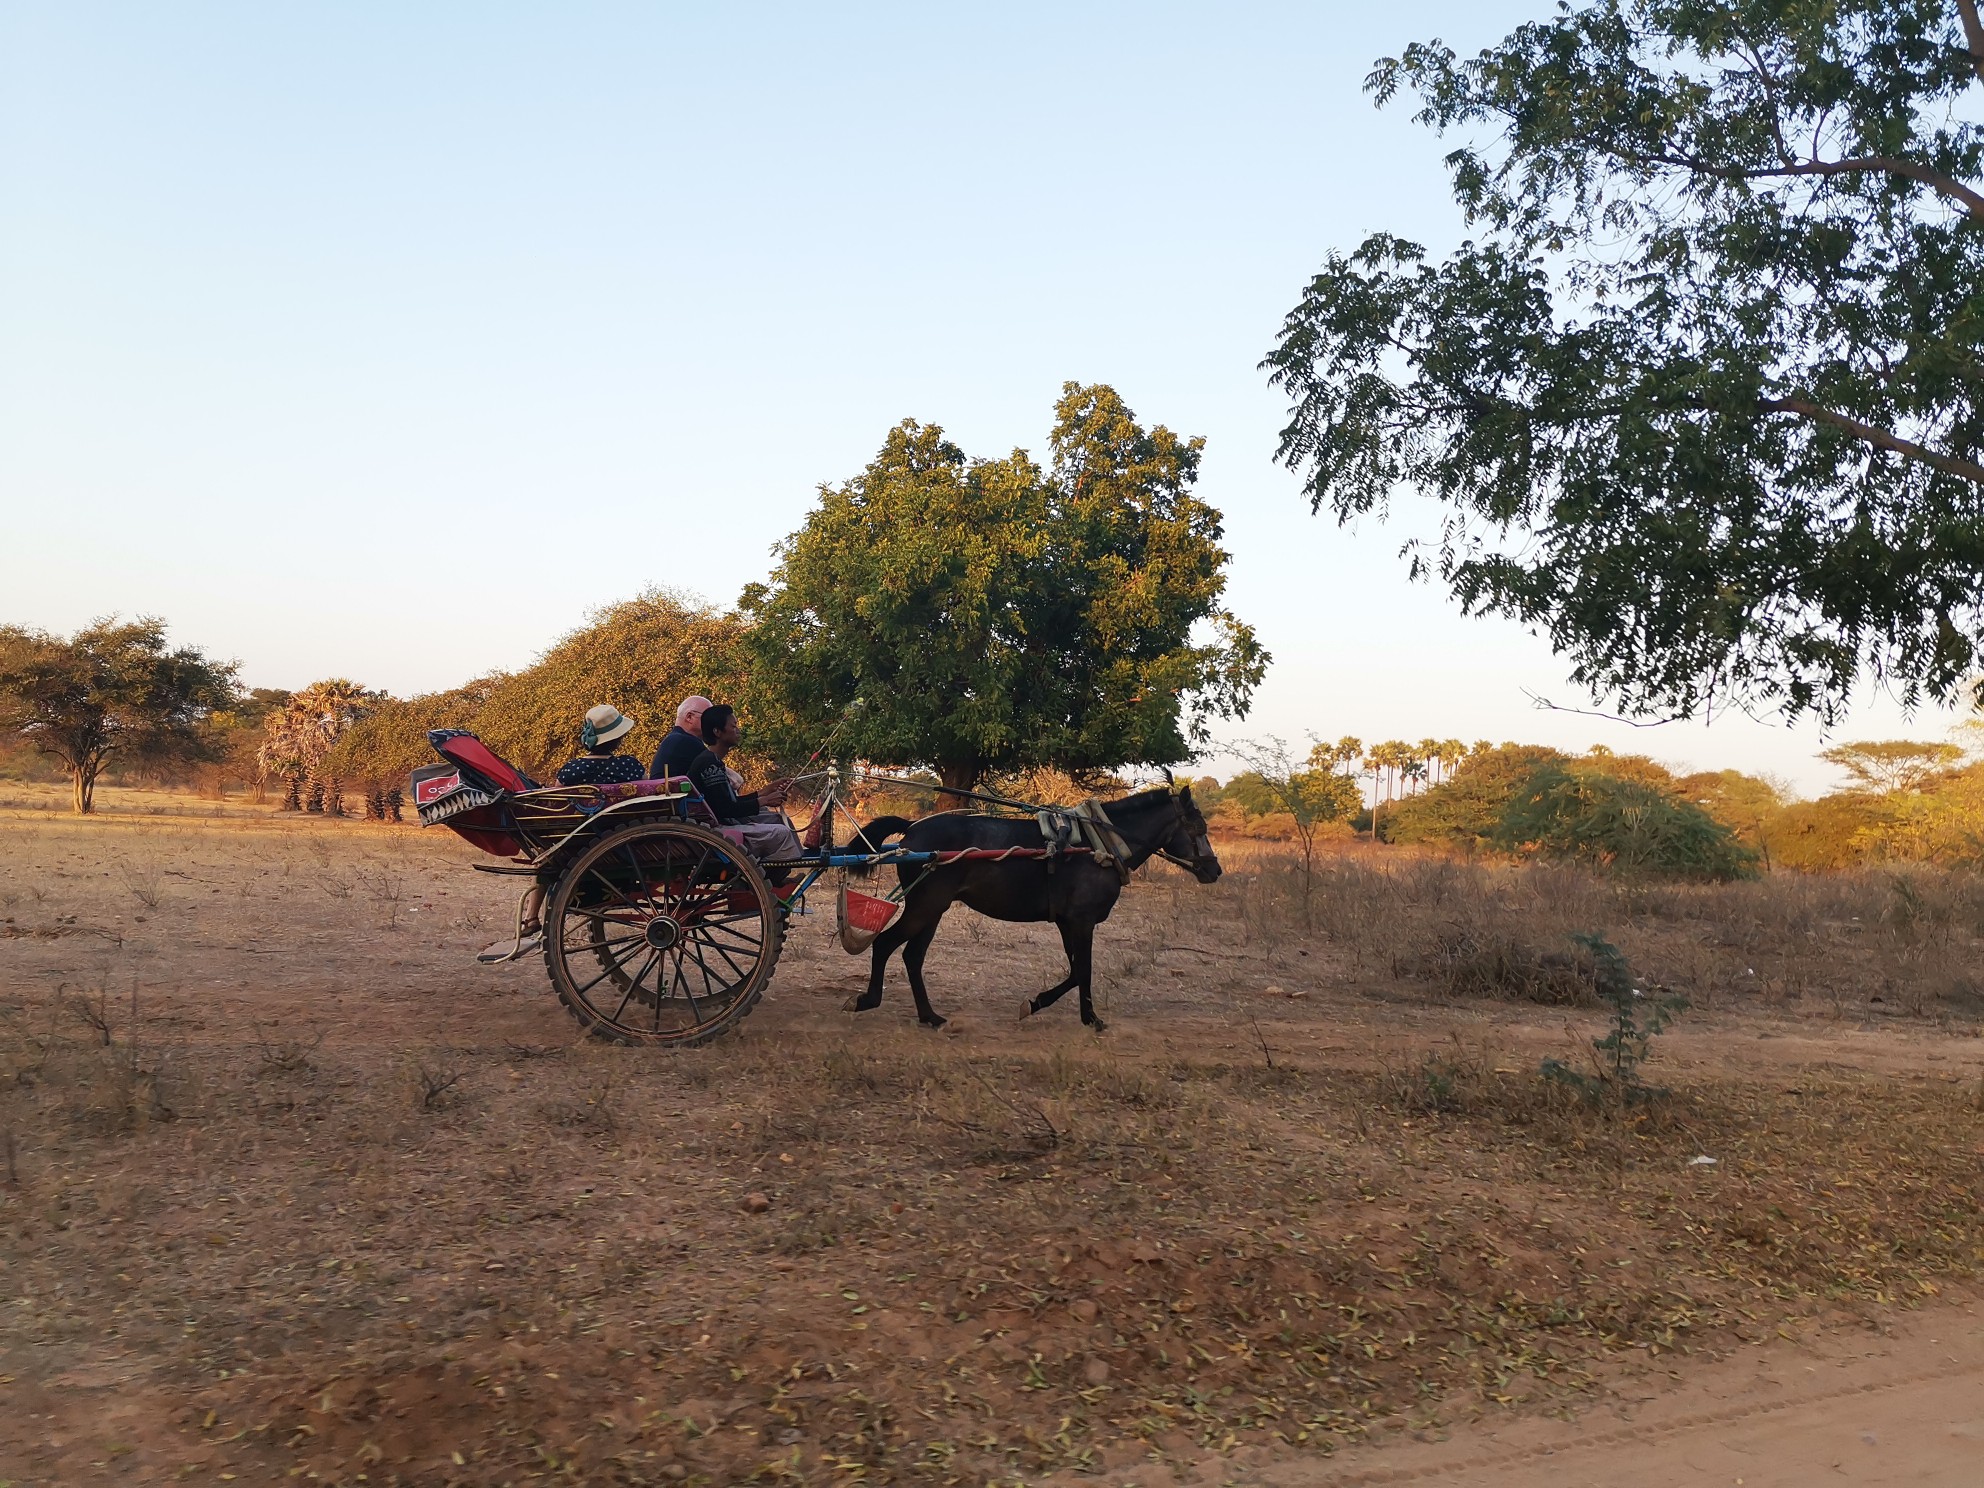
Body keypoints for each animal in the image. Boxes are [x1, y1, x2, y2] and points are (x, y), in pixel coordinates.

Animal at [841, 785, 1214, 1031]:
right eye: (1198, 828)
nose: (1215, 870)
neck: (1098, 845)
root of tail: (913, 828)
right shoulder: (1082, 921)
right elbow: (1083, 971)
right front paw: (1087, 1017)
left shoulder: (1067, 922)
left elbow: (1076, 971)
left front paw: (1045, 1006)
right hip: (925, 906)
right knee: (885, 944)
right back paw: (868, 1000)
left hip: (933, 909)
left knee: (912, 956)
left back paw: (929, 1016)